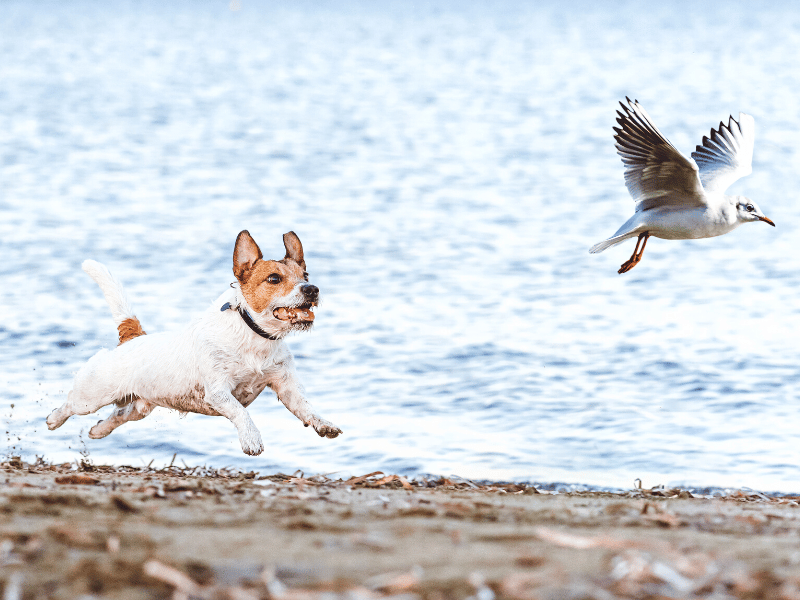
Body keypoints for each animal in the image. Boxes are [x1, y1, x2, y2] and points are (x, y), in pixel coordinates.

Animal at [47, 230, 340, 454]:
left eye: (306, 277)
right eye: (274, 279)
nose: (312, 290)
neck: (255, 336)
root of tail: (132, 338)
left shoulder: (286, 386)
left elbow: (305, 406)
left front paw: (322, 423)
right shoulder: (219, 392)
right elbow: (241, 412)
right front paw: (252, 439)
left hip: (140, 407)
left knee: (118, 416)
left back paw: (98, 431)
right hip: (91, 396)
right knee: (70, 404)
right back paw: (53, 419)